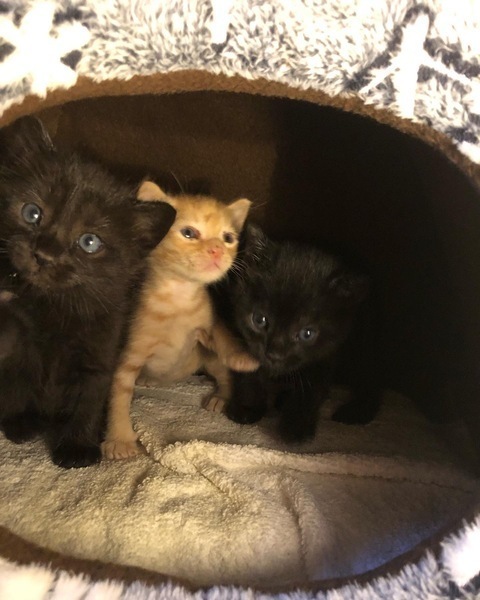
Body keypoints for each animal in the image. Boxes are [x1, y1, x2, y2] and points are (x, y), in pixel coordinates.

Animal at [0, 116, 176, 468]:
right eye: (32, 213)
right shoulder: (15, 346)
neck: (55, 306)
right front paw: (19, 422)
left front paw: (78, 447)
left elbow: (89, 399)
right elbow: (13, 383)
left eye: (89, 242)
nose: (44, 254)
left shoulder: (101, 350)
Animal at [101, 181, 255, 460]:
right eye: (188, 233)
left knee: (222, 372)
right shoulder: (131, 352)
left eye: (228, 238)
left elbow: (223, 335)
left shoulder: (208, 325)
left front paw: (241, 357)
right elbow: (119, 395)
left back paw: (221, 397)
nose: (217, 249)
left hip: (208, 358)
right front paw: (119, 440)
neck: (179, 301)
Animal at [205, 224, 380, 443]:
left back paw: (356, 411)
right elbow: (248, 372)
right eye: (259, 319)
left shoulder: (326, 355)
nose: (274, 354)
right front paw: (247, 407)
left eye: (307, 333)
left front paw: (297, 427)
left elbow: (311, 389)